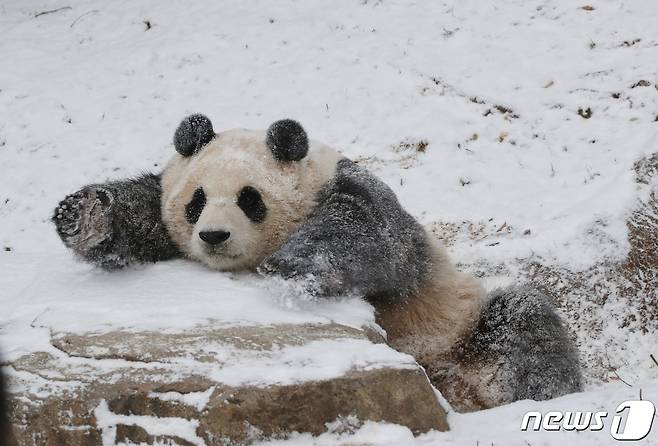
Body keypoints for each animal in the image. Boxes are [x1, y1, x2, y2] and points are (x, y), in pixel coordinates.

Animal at [53, 115, 580, 412]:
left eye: (249, 199)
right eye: (196, 202)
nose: (214, 236)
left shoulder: (352, 193)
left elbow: (368, 235)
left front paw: (291, 270)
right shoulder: (165, 205)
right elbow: (141, 217)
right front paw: (83, 214)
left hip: (459, 325)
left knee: (523, 322)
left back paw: (521, 394)